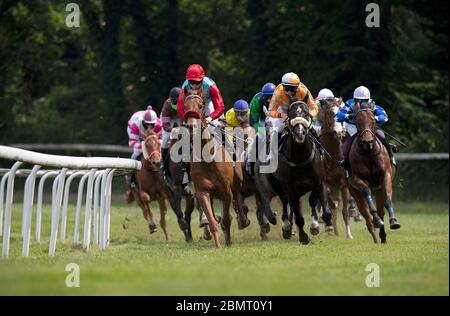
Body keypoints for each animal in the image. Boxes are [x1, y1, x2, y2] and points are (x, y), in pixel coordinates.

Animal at [181, 87, 250, 248]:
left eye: (200, 105)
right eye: (185, 107)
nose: (191, 126)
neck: (208, 161)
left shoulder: (226, 192)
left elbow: (227, 218)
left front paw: (228, 241)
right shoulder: (202, 191)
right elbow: (212, 220)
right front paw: (218, 245)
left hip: (236, 181)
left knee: (237, 197)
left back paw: (243, 220)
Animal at [272, 101, 332, 244]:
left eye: (306, 113)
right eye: (291, 114)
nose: (300, 133)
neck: (301, 159)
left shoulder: (319, 183)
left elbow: (324, 211)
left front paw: (317, 226)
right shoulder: (292, 190)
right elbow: (299, 217)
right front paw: (303, 237)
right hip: (278, 185)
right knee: (285, 202)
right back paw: (287, 227)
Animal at [318, 97, 354, 238]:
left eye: (341, 112)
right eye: (329, 113)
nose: (338, 132)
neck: (333, 157)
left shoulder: (344, 184)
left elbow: (344, 211)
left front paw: (349, 234)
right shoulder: (324, 182)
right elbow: (330, 203)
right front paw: (329, 227)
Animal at [348, 102, 400, 243]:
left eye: (373, 121)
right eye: (357, 121)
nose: (368, 141)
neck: (369, 153)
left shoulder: (385, 176)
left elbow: (388, 200)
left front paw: (394, 221)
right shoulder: (357, 179)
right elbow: (366, 194)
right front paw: (376, 220)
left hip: (378, 189)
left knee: (381, 211)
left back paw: (383, 236)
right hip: (354, 191)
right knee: (366, 215)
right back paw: (376, 236)